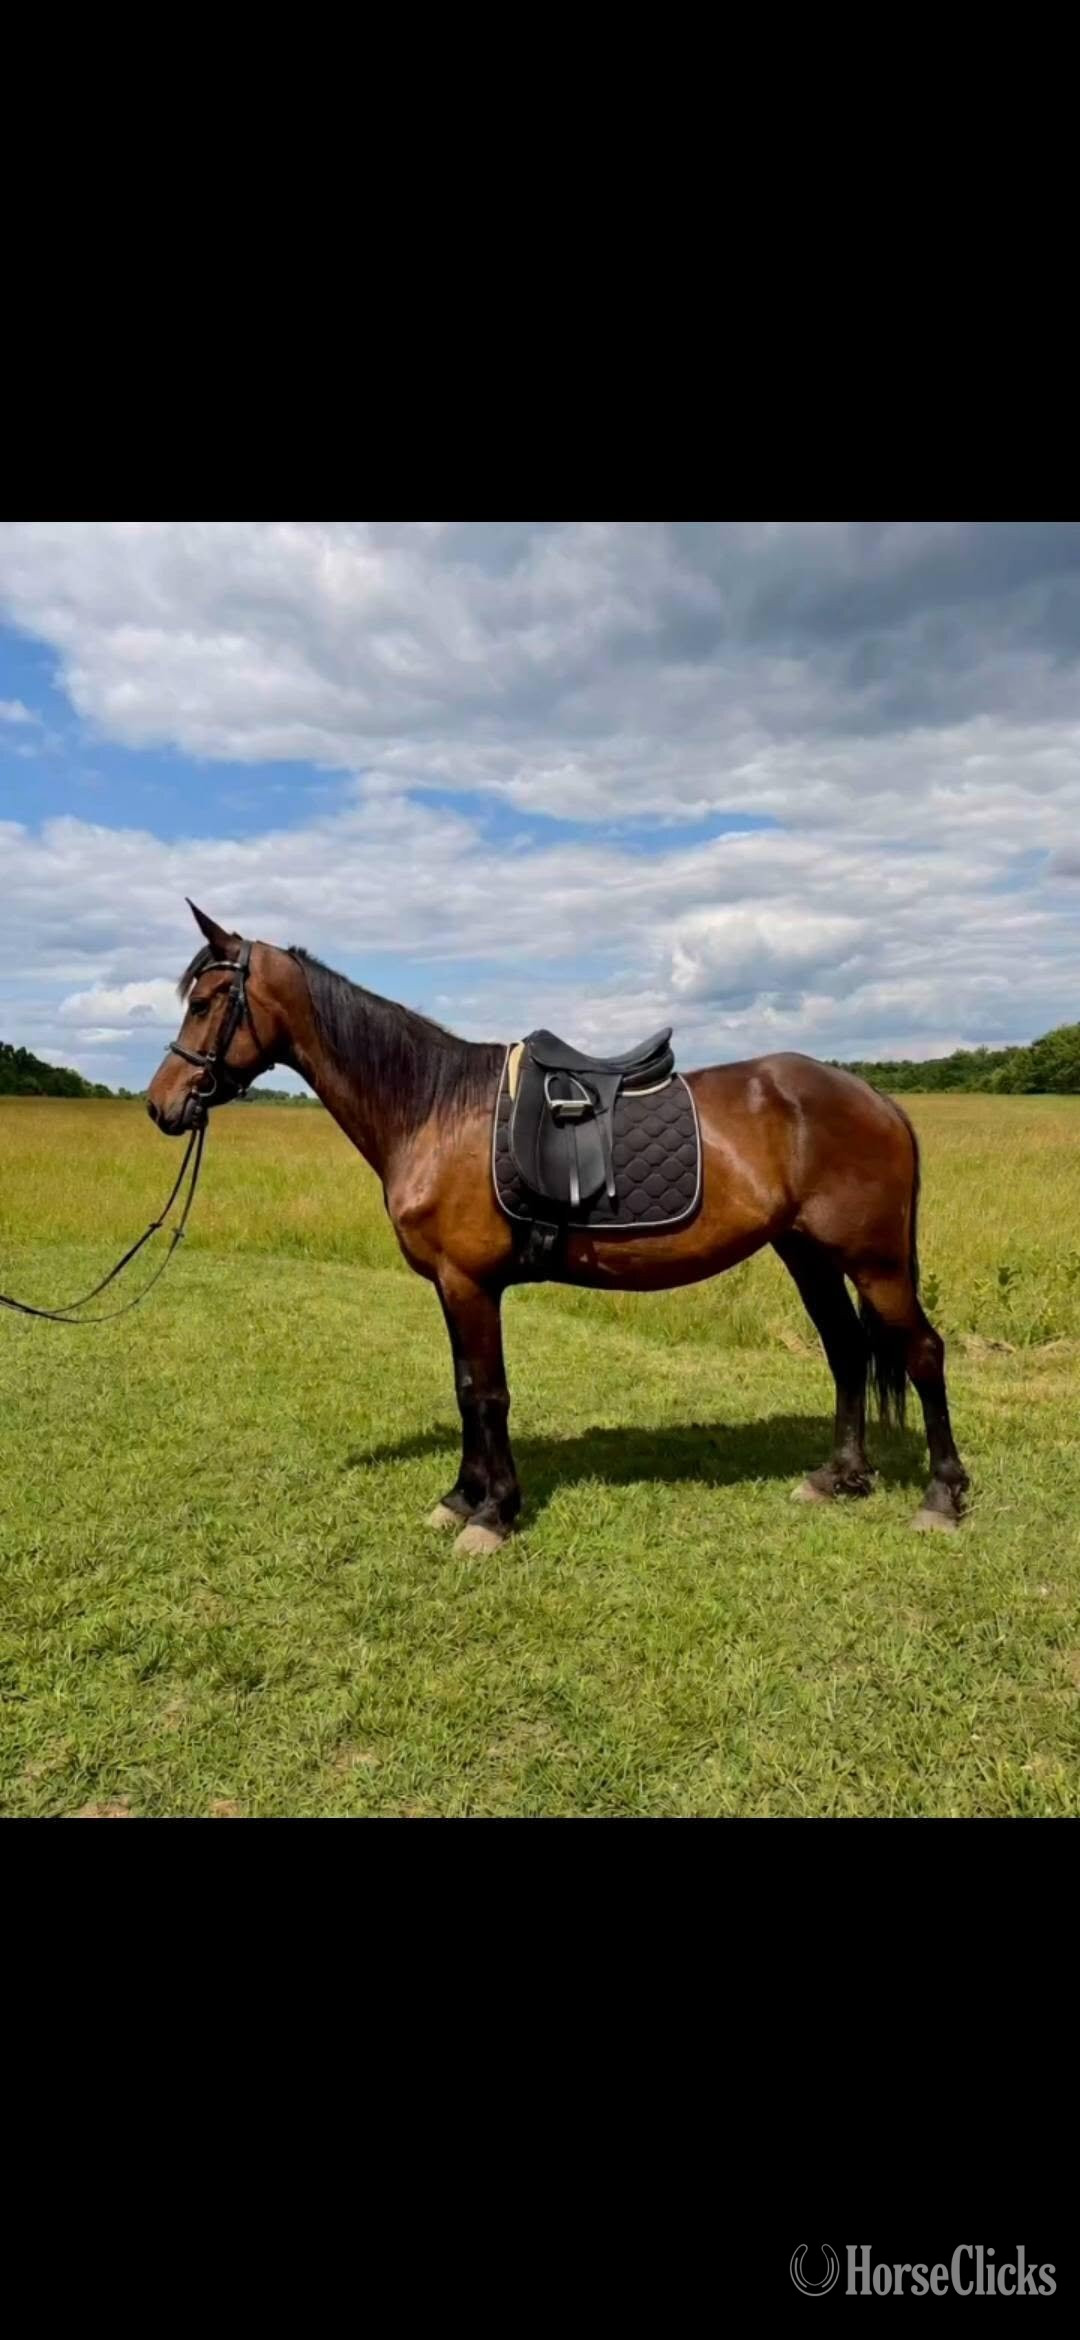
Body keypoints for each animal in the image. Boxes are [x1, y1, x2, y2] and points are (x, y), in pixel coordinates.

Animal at [146, 902, 970, 1552]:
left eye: (210, 999)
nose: (162, 1104)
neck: (434, 1109)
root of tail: (877, 1099)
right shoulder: (452, 1286)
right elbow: (464, 1386)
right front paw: (459, 1499)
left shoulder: (471, 1283)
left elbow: (488, 1394)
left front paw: (493, 1516)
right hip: (808, 1253)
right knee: (847, 1351)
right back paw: (837, 1479)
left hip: (873, 1260)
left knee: (922, 1353)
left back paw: (942, 1496)